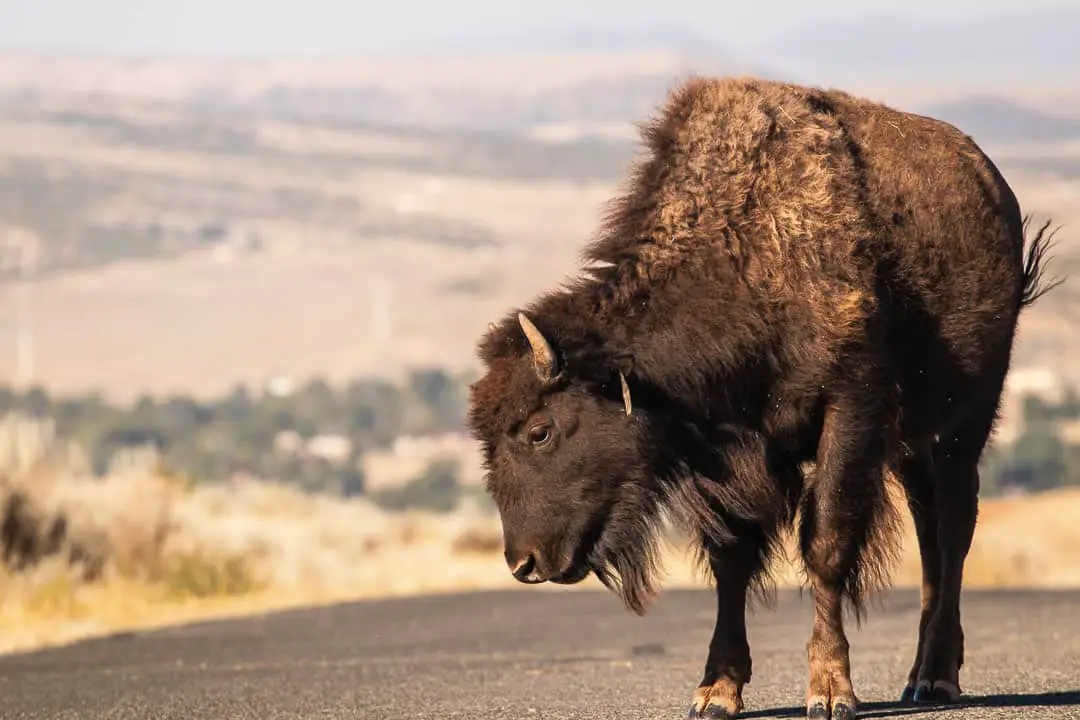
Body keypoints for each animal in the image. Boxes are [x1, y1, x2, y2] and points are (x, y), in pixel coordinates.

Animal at [466, 76, 1062, 716]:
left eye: (540, 430)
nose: (523, 562)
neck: (744, 257)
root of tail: (993, 187)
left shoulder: (848, 414)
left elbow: (825, 546)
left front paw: (830, 691)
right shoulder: (725, 455)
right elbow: (731, 558)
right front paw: (716, 691)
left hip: (966, 420)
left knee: (953, 523)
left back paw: (937, 678)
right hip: (912, 443)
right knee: (929, 527)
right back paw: (921, 676)